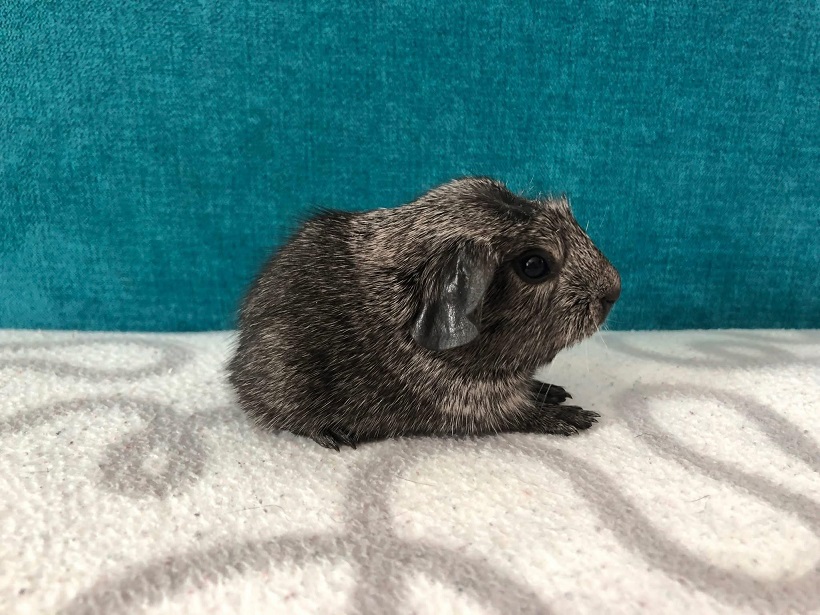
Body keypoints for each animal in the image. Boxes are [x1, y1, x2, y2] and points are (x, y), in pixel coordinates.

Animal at [227, 176, 621, 450]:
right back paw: (336, 436)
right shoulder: (474, 404)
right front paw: (580, 417)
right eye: (534, 265)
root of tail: (239, 367)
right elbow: (525, 413)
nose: (614, 289)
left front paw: (557, 391)